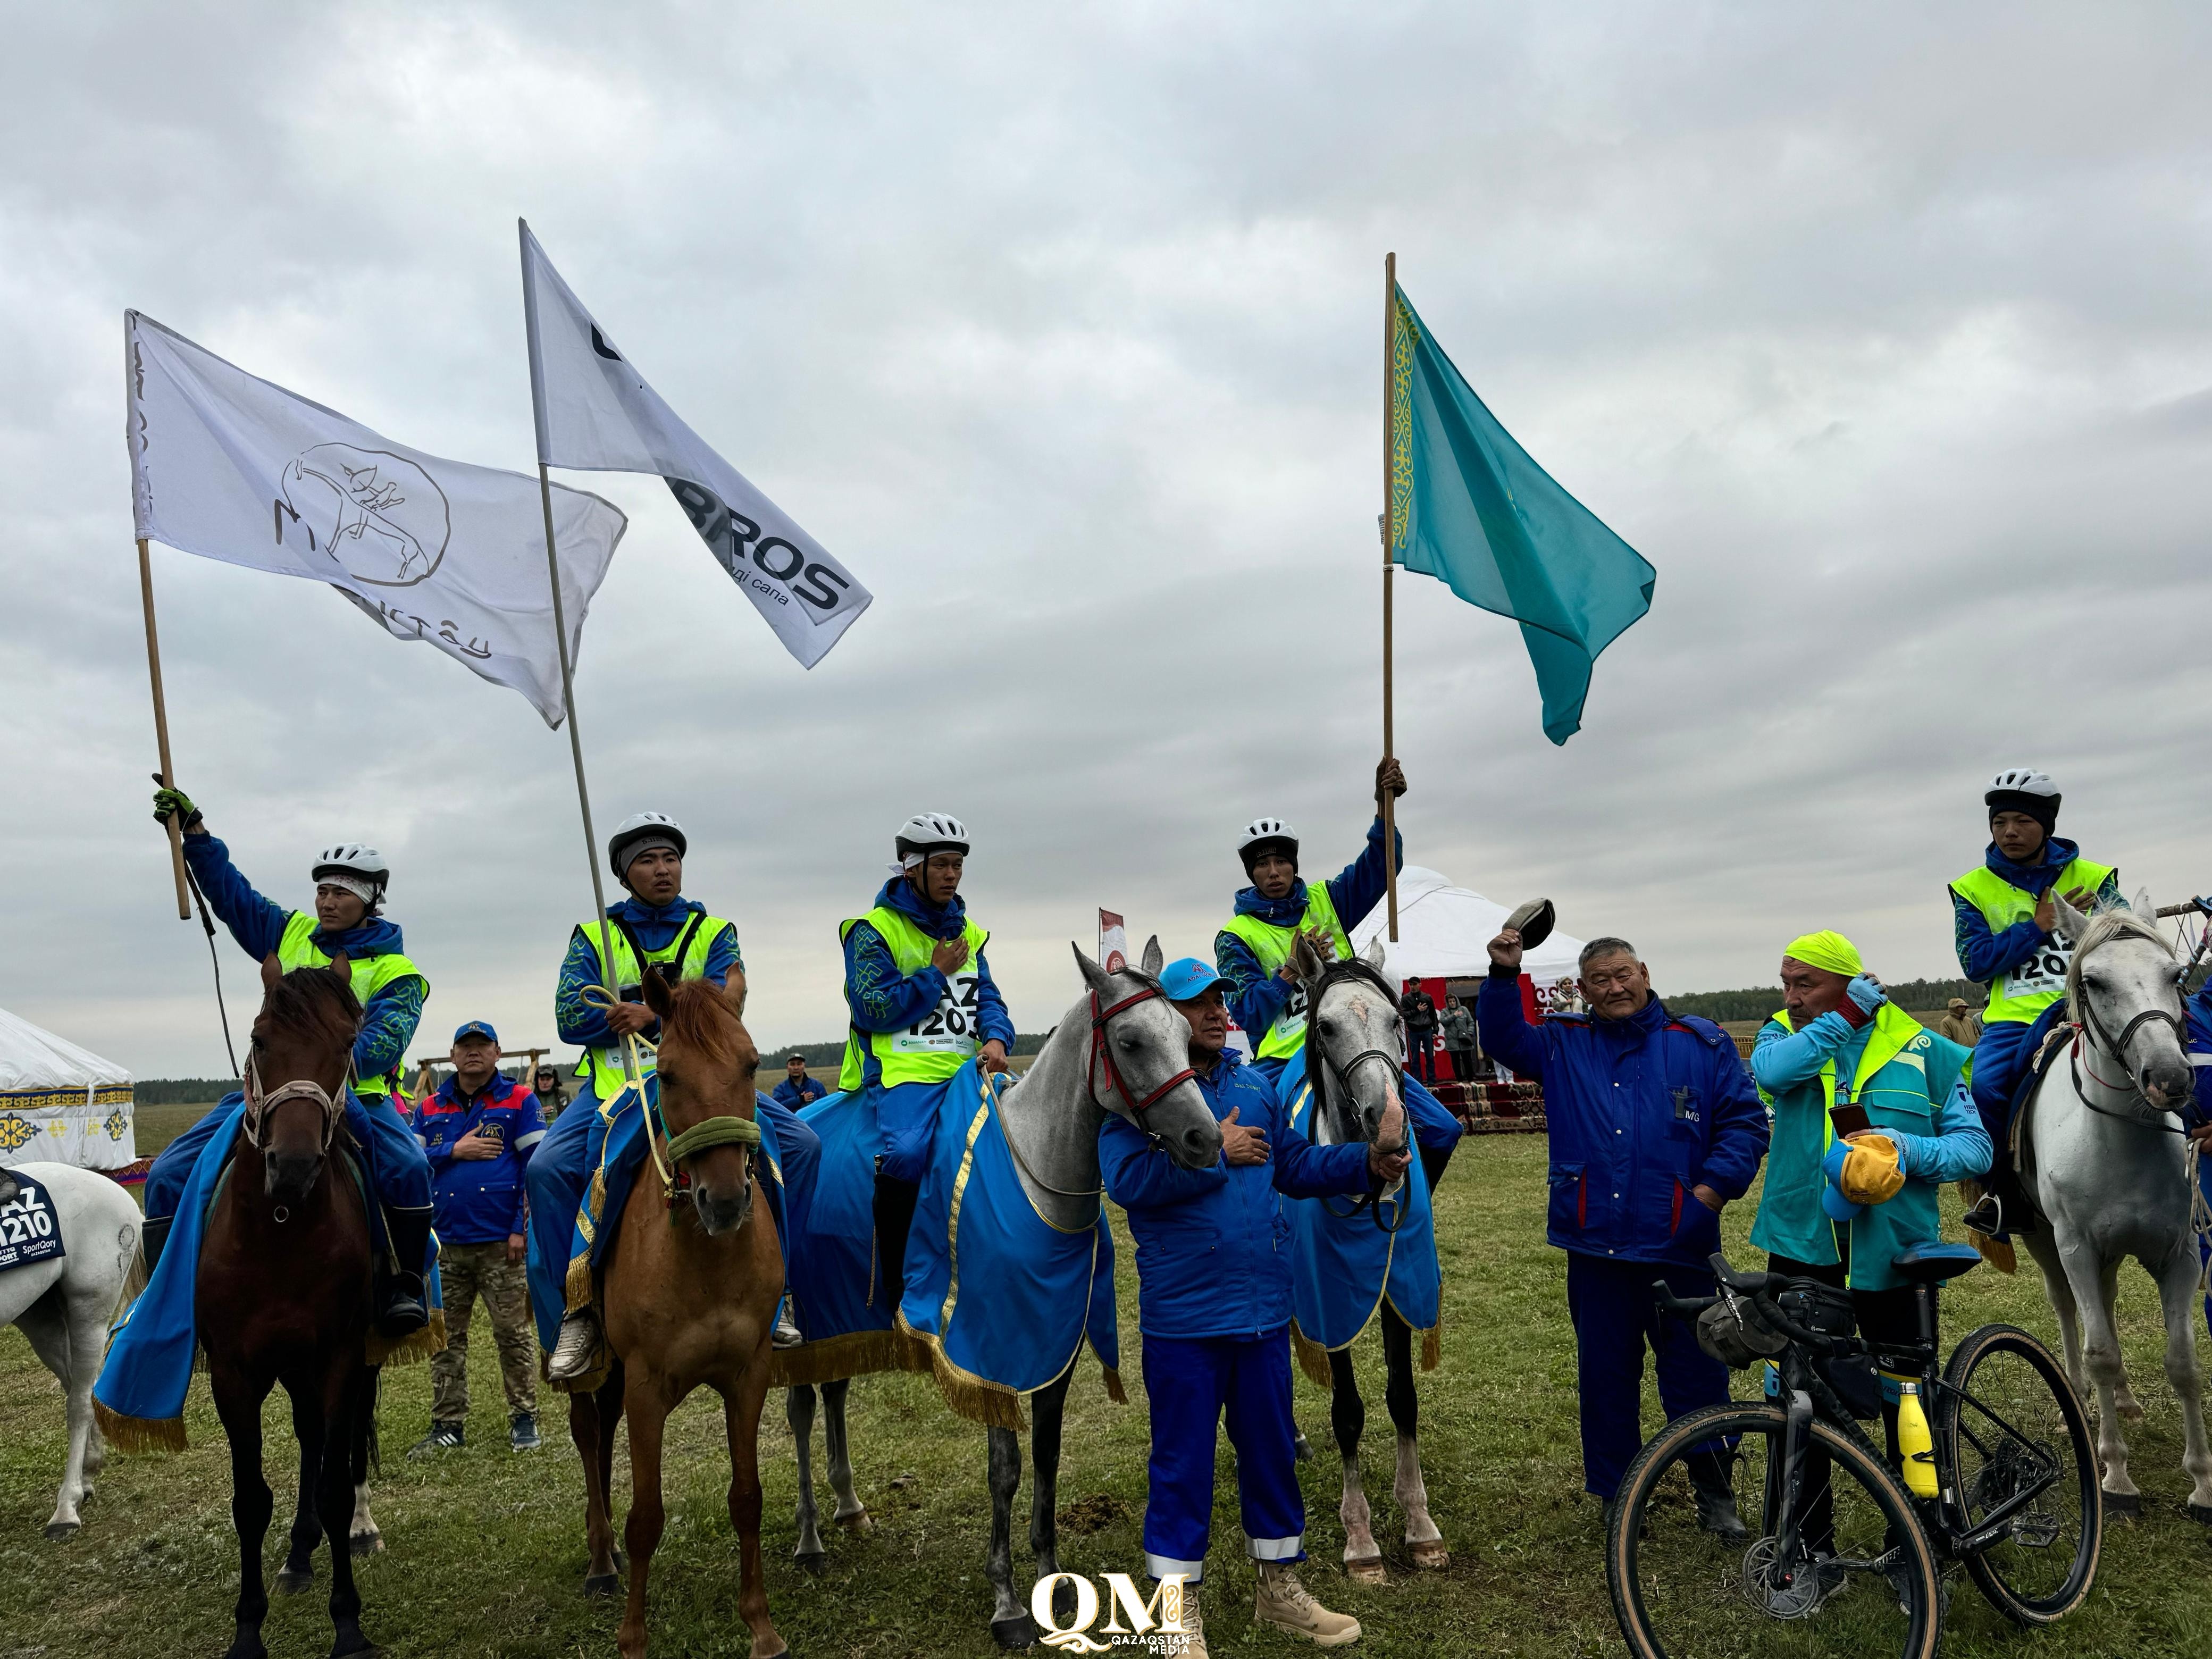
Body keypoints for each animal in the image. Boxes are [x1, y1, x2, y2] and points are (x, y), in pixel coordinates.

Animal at [0, 1159, 143, 1539]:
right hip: (38, 1316)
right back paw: (88, 1471)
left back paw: (67, 1505)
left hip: (89, 1310)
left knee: (79, 1402)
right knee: (77, 1385)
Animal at [199, 960, 380, 1659]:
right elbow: (250, 1500)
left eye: (347, 1045)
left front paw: (348, 1624)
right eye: (259, 1037)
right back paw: (299, 1556)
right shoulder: (233, 1371)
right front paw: (247, 1630)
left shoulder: (339, 1357)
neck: (280, 1229)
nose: (294, 1167)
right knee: (309, 1440)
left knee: (336, 1447)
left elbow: (333, 1487)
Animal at [571, 973, 787, 1659]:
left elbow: (747, 1498)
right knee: (588, 1434)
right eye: (665, 1074)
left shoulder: (748, 1375)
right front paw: (634, 1638)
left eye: (751, 1064)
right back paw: (600, 1561)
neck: (705, 1257)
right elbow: (646, 1518)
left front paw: (759, 1624)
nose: (724, 1202)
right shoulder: (645, 1386)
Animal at [783, 937, 1221, 1654]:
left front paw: (1053, 1585)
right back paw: (811, 1538)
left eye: (1186, 1036)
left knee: (835, 1392)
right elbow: (1005, 1470)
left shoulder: (1055, 1353)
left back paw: (850, 1509)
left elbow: (1045, 1459)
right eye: (1129, 1041)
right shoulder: (992, 1356)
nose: (1204, 1140)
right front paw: (1009, 1602)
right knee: (799, 1409)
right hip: (805, 1316)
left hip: (840, 1312)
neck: (1034, 1177)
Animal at [2026, 902, 2212, 1530]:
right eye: (2094, 981)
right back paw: (2080, 1399)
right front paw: (2116, 1476)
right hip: (2044, 1244)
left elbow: (2183, 1362)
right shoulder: (2076, 1249)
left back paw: (2126, 1402)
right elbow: (2101, 1353)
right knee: (2068, 1313)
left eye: (2175, 975)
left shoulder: (2179, 1256)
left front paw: (2202, 1483)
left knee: (2103, 1305)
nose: (2170, 1078)